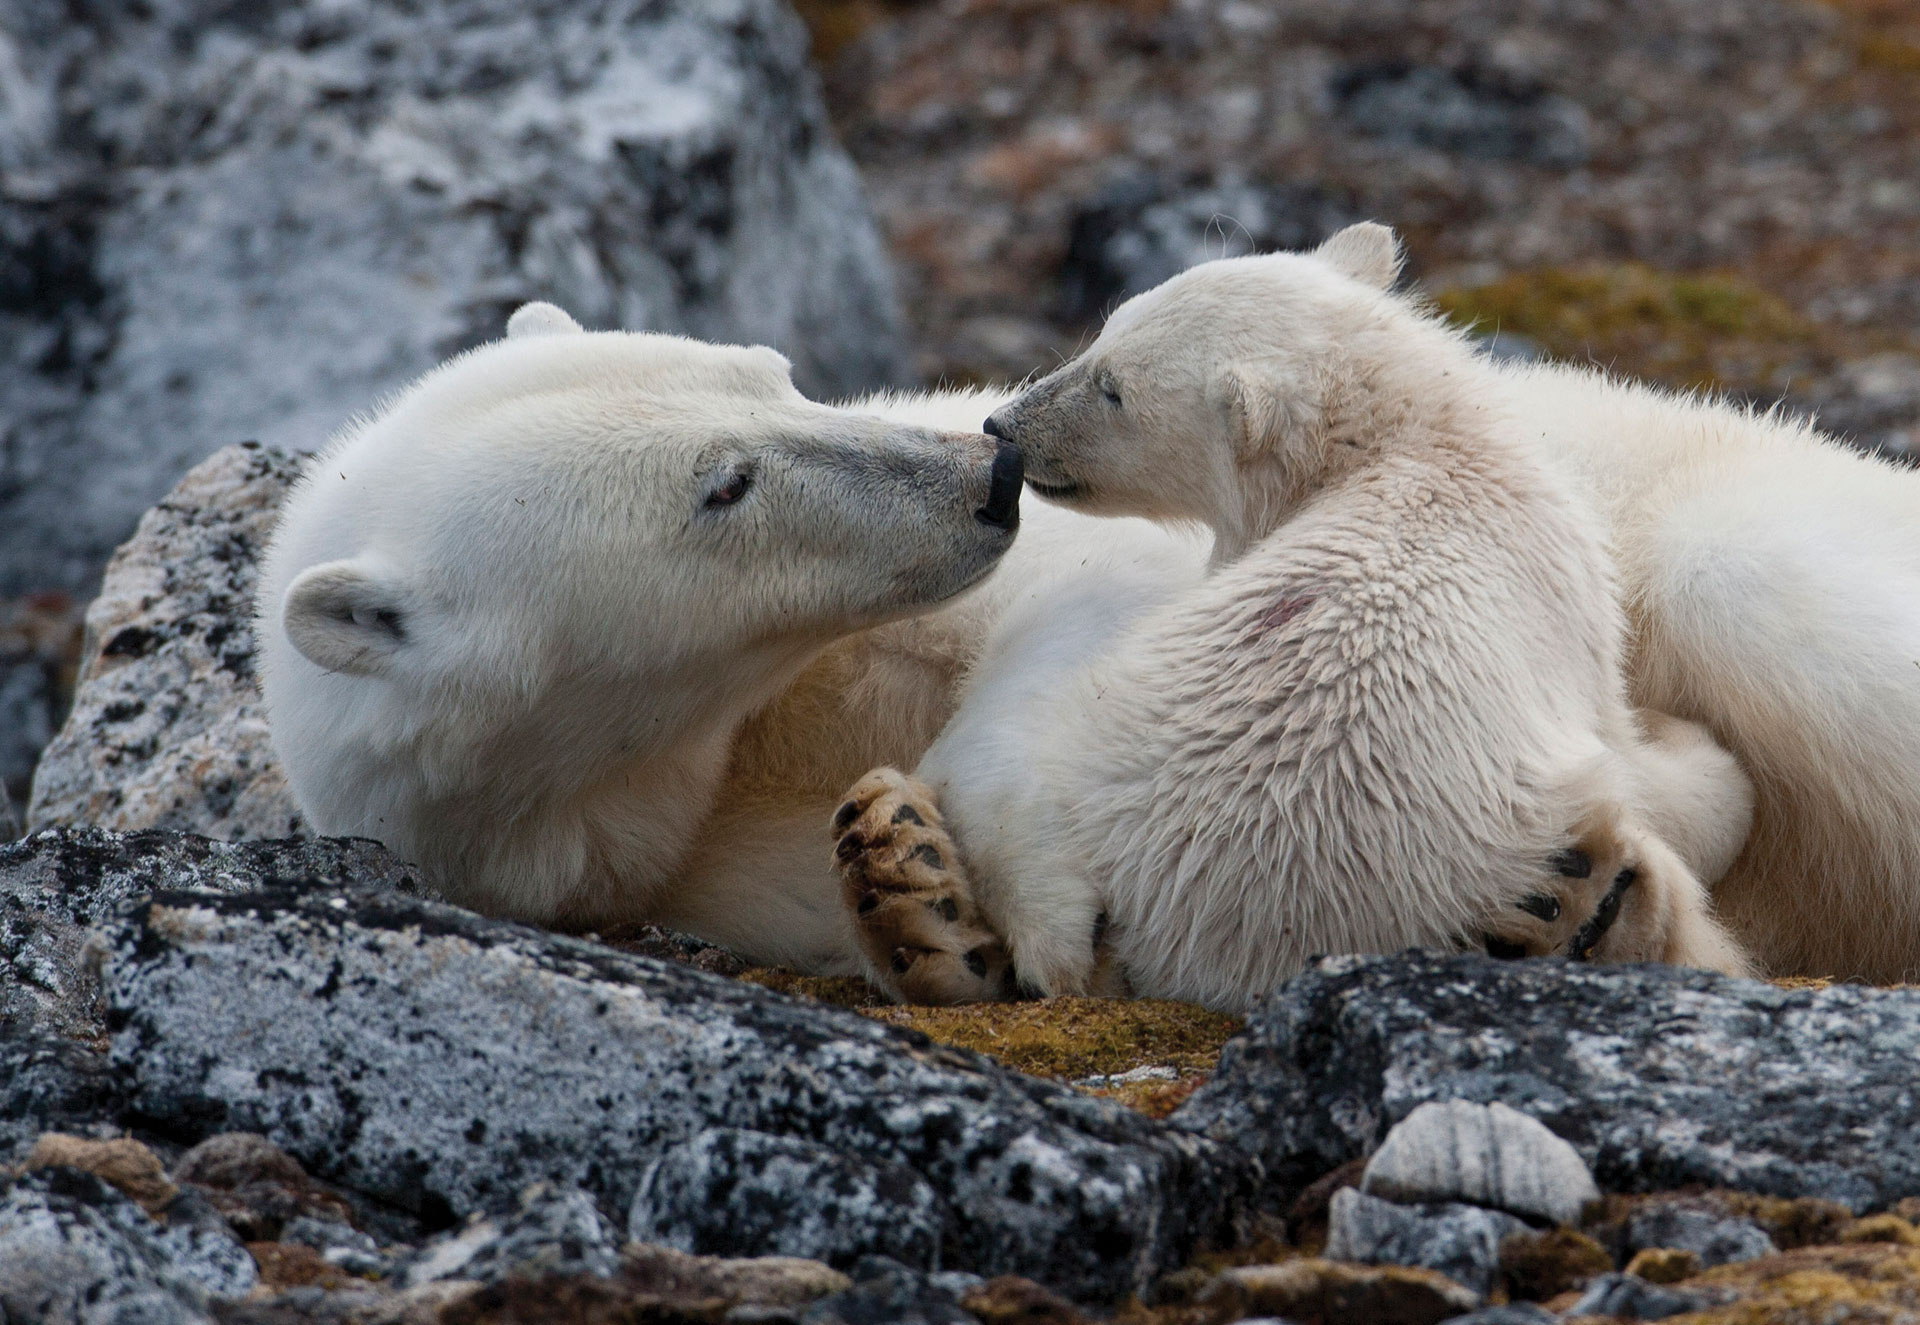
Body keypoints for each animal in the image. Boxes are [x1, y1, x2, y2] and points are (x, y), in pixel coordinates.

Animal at [256, 303, 1204, 971]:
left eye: (776, 375)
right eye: (728, 484)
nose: (996, 476)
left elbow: (1098, 586)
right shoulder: (692, 867)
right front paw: (919, 898)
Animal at [831, 224, 1759, 1011]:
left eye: (1111, 383)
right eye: (1105, 333)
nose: (1004, 426)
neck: (1414, 446)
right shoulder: (1564, 597)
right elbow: (1646, 754)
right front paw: (1693, 745)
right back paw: (1599, 901)